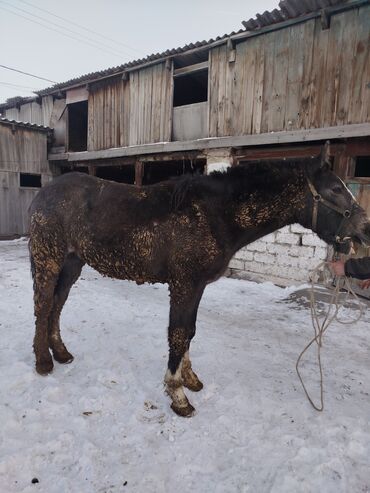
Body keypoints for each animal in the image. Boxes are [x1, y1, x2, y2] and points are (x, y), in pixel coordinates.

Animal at [28, 157, 370, 416]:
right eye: (335, 189)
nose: (364, 229)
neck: (214, 213)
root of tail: (44, 193)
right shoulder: (185, 284)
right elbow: (179, 334)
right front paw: (178, 396)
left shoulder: (197, 286)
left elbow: (190, 331)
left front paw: (190, 379)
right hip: (49, 259)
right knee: (44, 305)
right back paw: (44, 361)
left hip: (72, 264)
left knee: (58, 303)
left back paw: (61, 353)